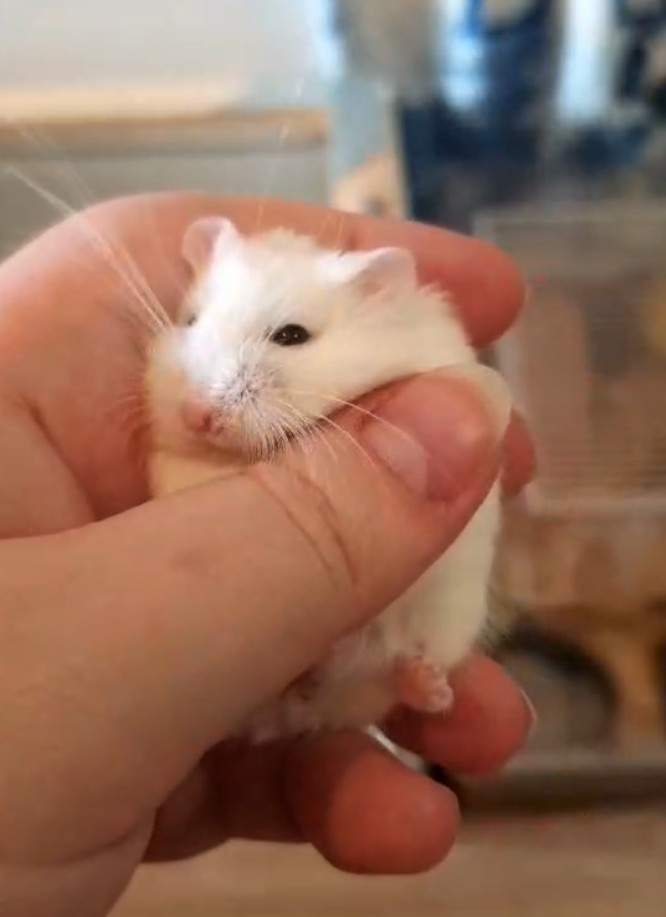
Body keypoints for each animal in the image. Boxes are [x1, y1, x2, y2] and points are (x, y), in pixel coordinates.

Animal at [145, 216, 501, 742]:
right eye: (189, 321)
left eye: (291, 335)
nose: (196, 416)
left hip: (447, 616)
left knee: (392, 669)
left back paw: (429, 687)